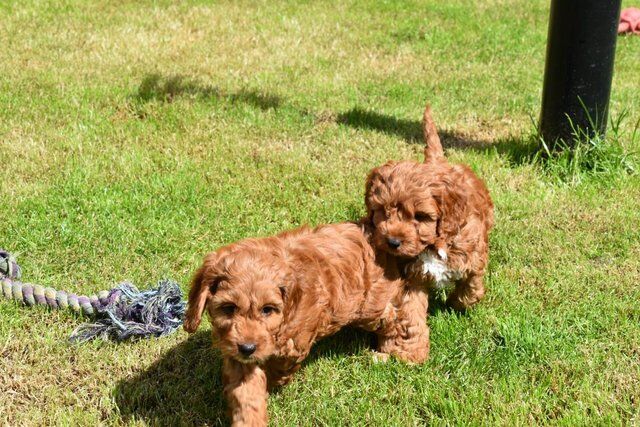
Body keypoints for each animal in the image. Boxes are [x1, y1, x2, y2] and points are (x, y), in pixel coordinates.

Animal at [184, 224, 430, 427]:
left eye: (267, 309)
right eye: (228, 308)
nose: (247, 348)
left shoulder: (293, 343)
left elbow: (276, 368)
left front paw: (270, 384)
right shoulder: (238, 351)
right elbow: (246, 393)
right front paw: (249, 418)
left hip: (370, 305)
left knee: (397, 317)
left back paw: (400, 352)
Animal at [364, 103, 496, 310]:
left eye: (420, 216)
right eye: (382, 211)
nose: (393, 242)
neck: (433, 244)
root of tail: (437, 162)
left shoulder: (474, 255)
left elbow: (471, 286)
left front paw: (456, 304)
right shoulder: (413, 275)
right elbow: (413, 305)